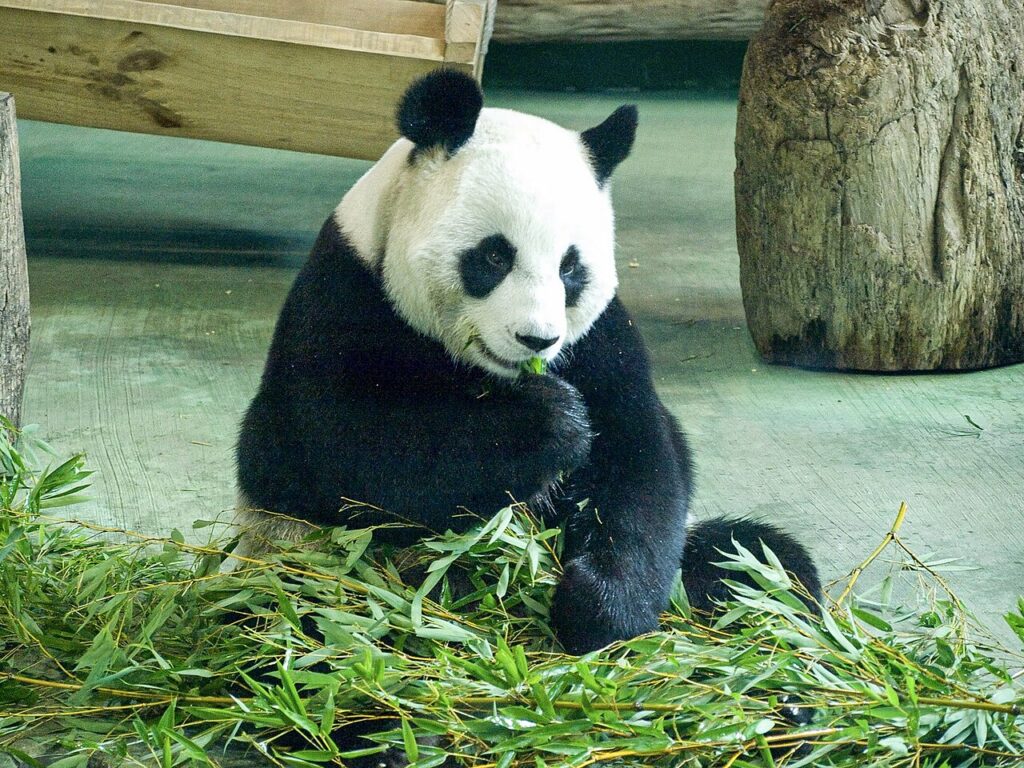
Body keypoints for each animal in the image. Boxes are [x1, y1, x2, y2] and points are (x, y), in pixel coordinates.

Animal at [236, 68, 821, 657]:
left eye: (570, 267)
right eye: (495, 255)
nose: (536, 339)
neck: (487, 373)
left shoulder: (600, 339)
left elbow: (640, 459)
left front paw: (599, 608)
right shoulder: (345, 297)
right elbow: (353, 450)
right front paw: (550, 422)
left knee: (755, 559)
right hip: (301, 560)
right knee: (296, 619)